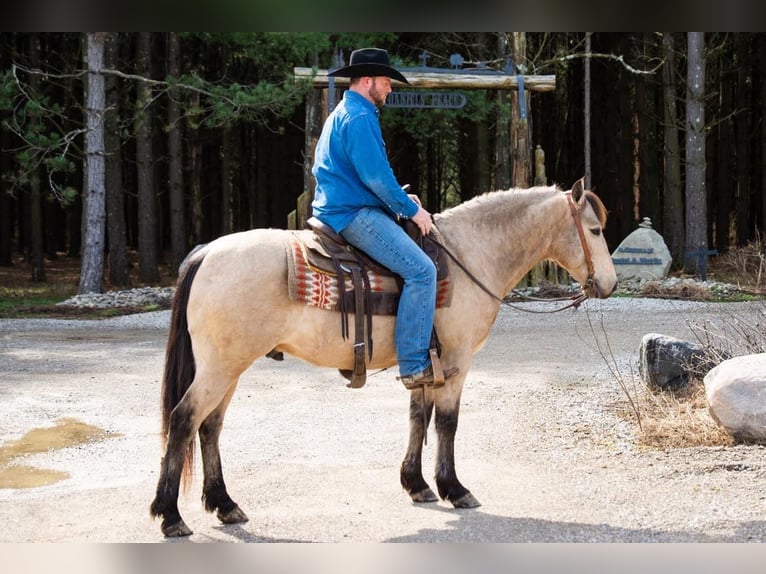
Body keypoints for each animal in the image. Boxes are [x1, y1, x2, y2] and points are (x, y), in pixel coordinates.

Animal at [148, 178, 616, 536]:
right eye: (594, 230)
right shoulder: (458, 362)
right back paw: (170, 516)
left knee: (210, 426)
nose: (610, 284)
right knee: (184, 419)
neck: (471, 255)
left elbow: (418, 417)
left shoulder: (426, 363)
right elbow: (447, 424)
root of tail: (207, 252)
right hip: (220, 367)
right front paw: (454, 488)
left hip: (229, 368)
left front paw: (416, 484)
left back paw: (225, 504)